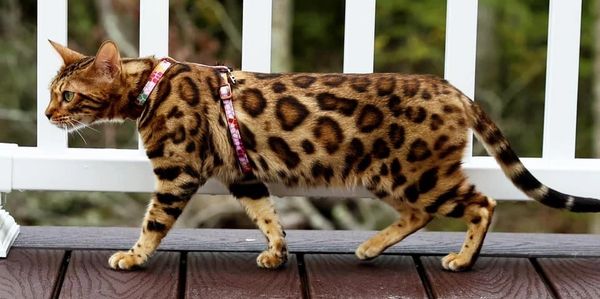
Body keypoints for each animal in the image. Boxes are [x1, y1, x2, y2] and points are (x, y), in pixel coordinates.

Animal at [45, 41, 600, 274]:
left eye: (68, 96)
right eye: (53, 93)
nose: (48, 113)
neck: (152, 86)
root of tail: (454, 89)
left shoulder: (178, 172)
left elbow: (153, 223)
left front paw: (133, 256)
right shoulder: (242, 174)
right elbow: (268, 217)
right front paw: (277, 253)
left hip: (415, 172)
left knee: (483, 204)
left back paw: (462, 260)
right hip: (392, 176)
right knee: (421, 214)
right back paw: (371, 248)